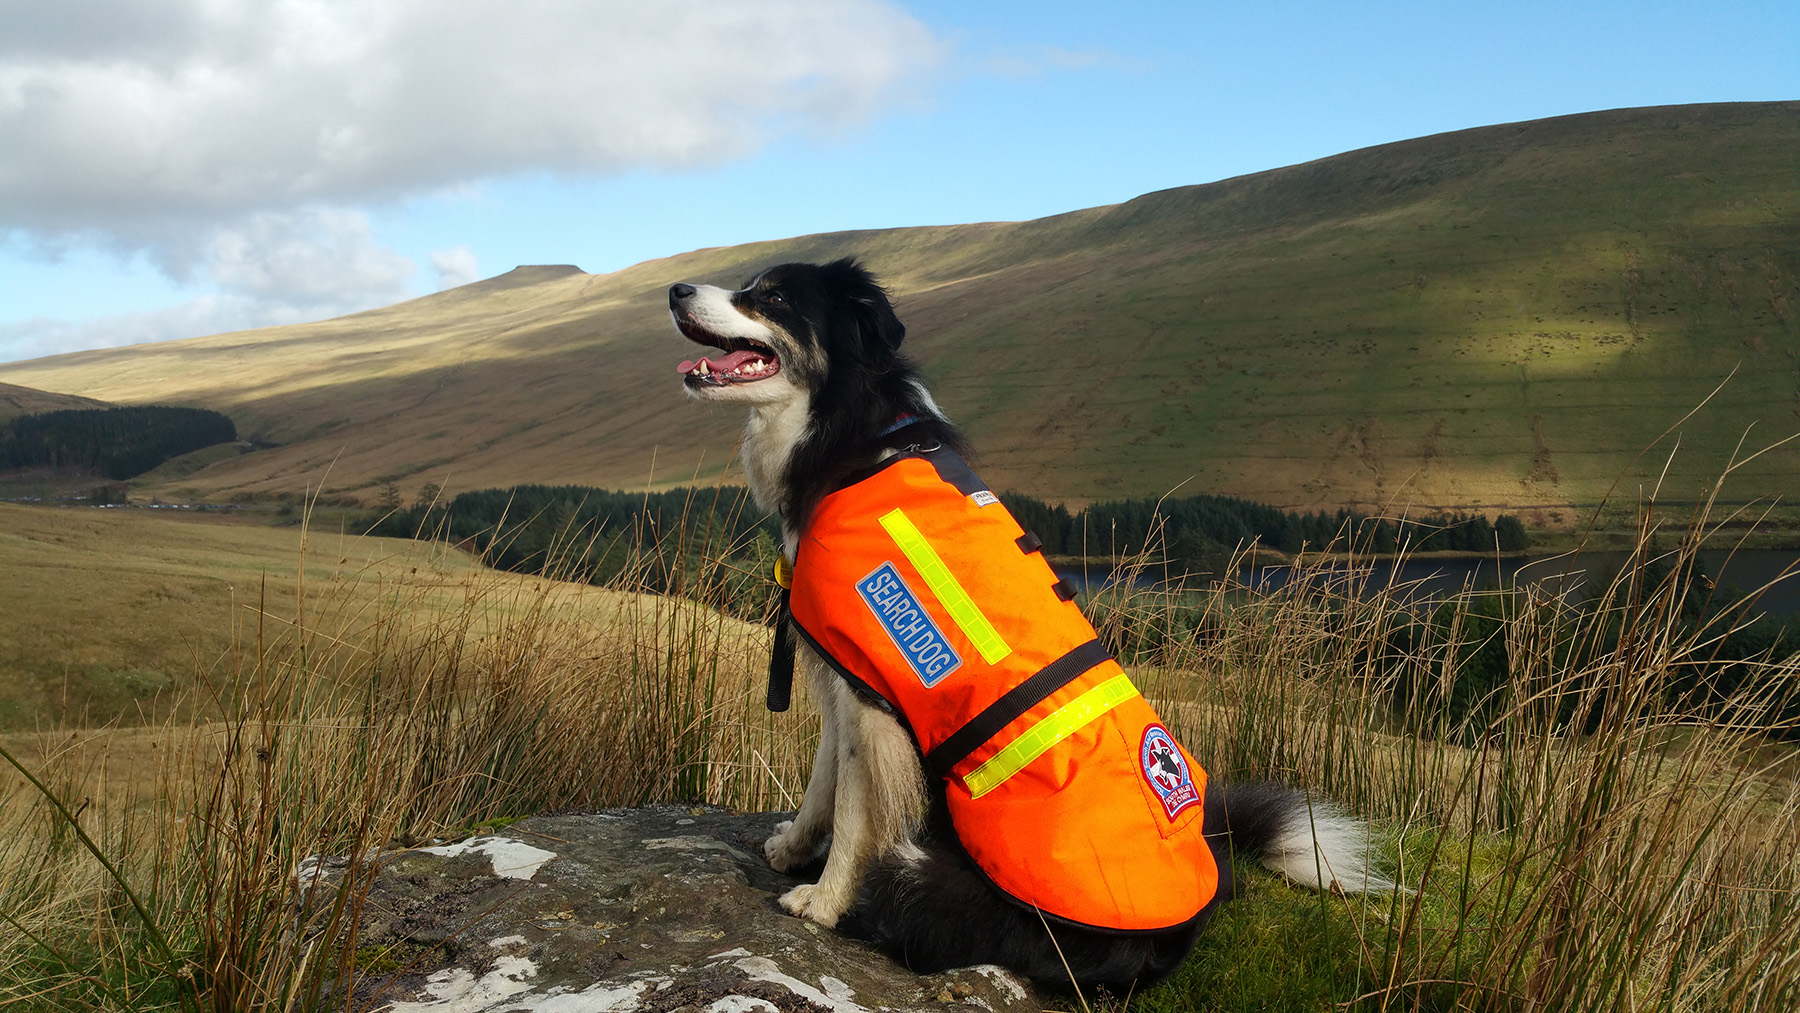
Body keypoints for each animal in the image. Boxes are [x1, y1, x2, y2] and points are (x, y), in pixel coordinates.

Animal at [669, 259, 1382, 993]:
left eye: (774, 295)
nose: (675, 290)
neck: (846, 434)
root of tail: (1176, 930)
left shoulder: (872, 698)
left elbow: (855, 809)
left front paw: (824, 900)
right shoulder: (848, 680)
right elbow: (822, 783)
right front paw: (791, 849)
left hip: (925, 876)